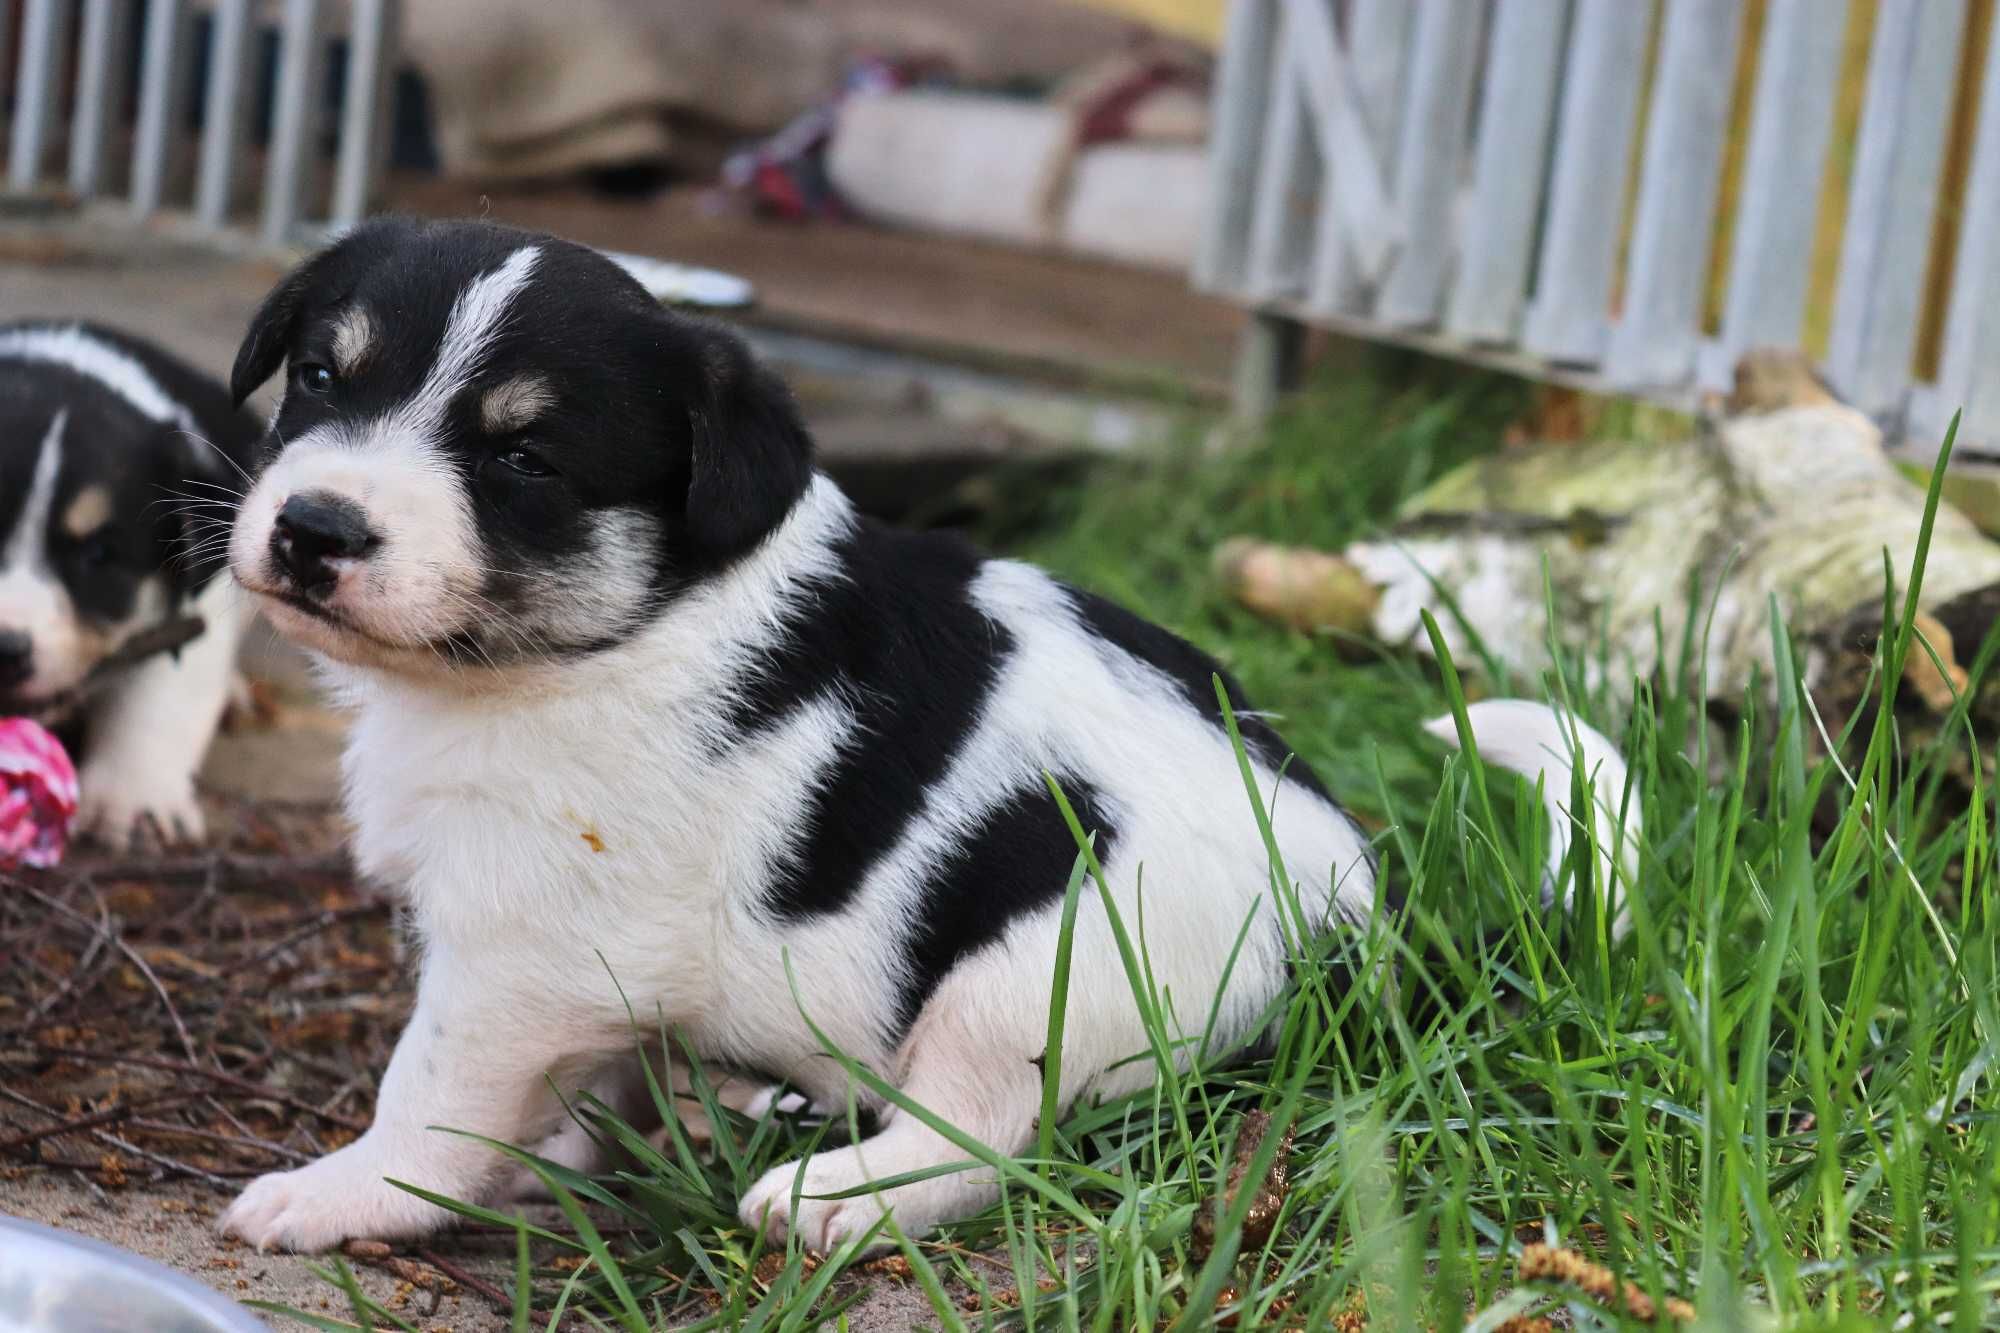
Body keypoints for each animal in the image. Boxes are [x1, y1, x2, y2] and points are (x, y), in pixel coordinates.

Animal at [211, 218, 1632, 1248]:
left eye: (524, 461)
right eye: (321, 377)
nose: (315, 529)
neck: (616, 633)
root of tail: (1368, 920)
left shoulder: (521, 953)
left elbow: (431, 1093)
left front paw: (350, 1194)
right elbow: (569, 1090)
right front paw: (559, 1152)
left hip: (1034, 967)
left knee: (984, 1143)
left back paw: (831, 1196)